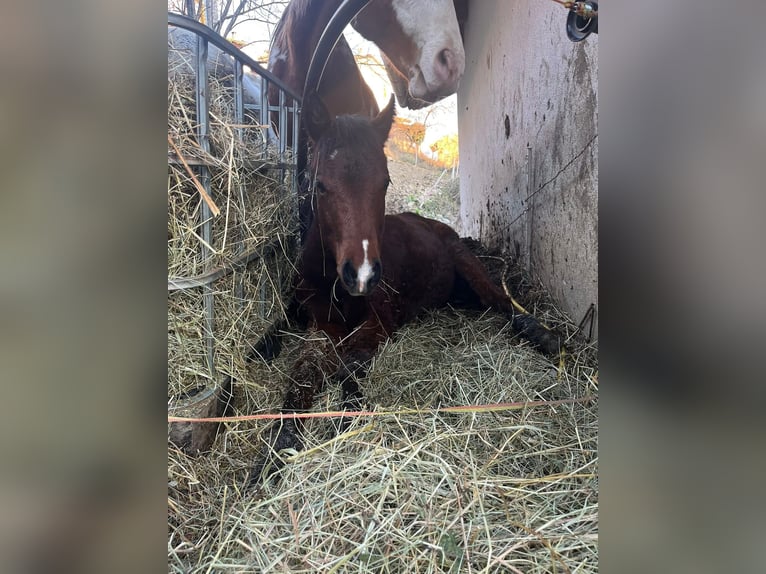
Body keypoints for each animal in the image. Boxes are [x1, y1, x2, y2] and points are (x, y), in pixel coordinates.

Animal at [249, 93, 562, 484]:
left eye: (384, 182)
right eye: (320, 184)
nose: (362, 275)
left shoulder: (380, 322)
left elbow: (347, 365)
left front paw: (349, 411)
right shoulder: (320, 325)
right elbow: (300, 376)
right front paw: (275, 450)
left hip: (466, 260)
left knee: (501, 302)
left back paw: (543, 335)